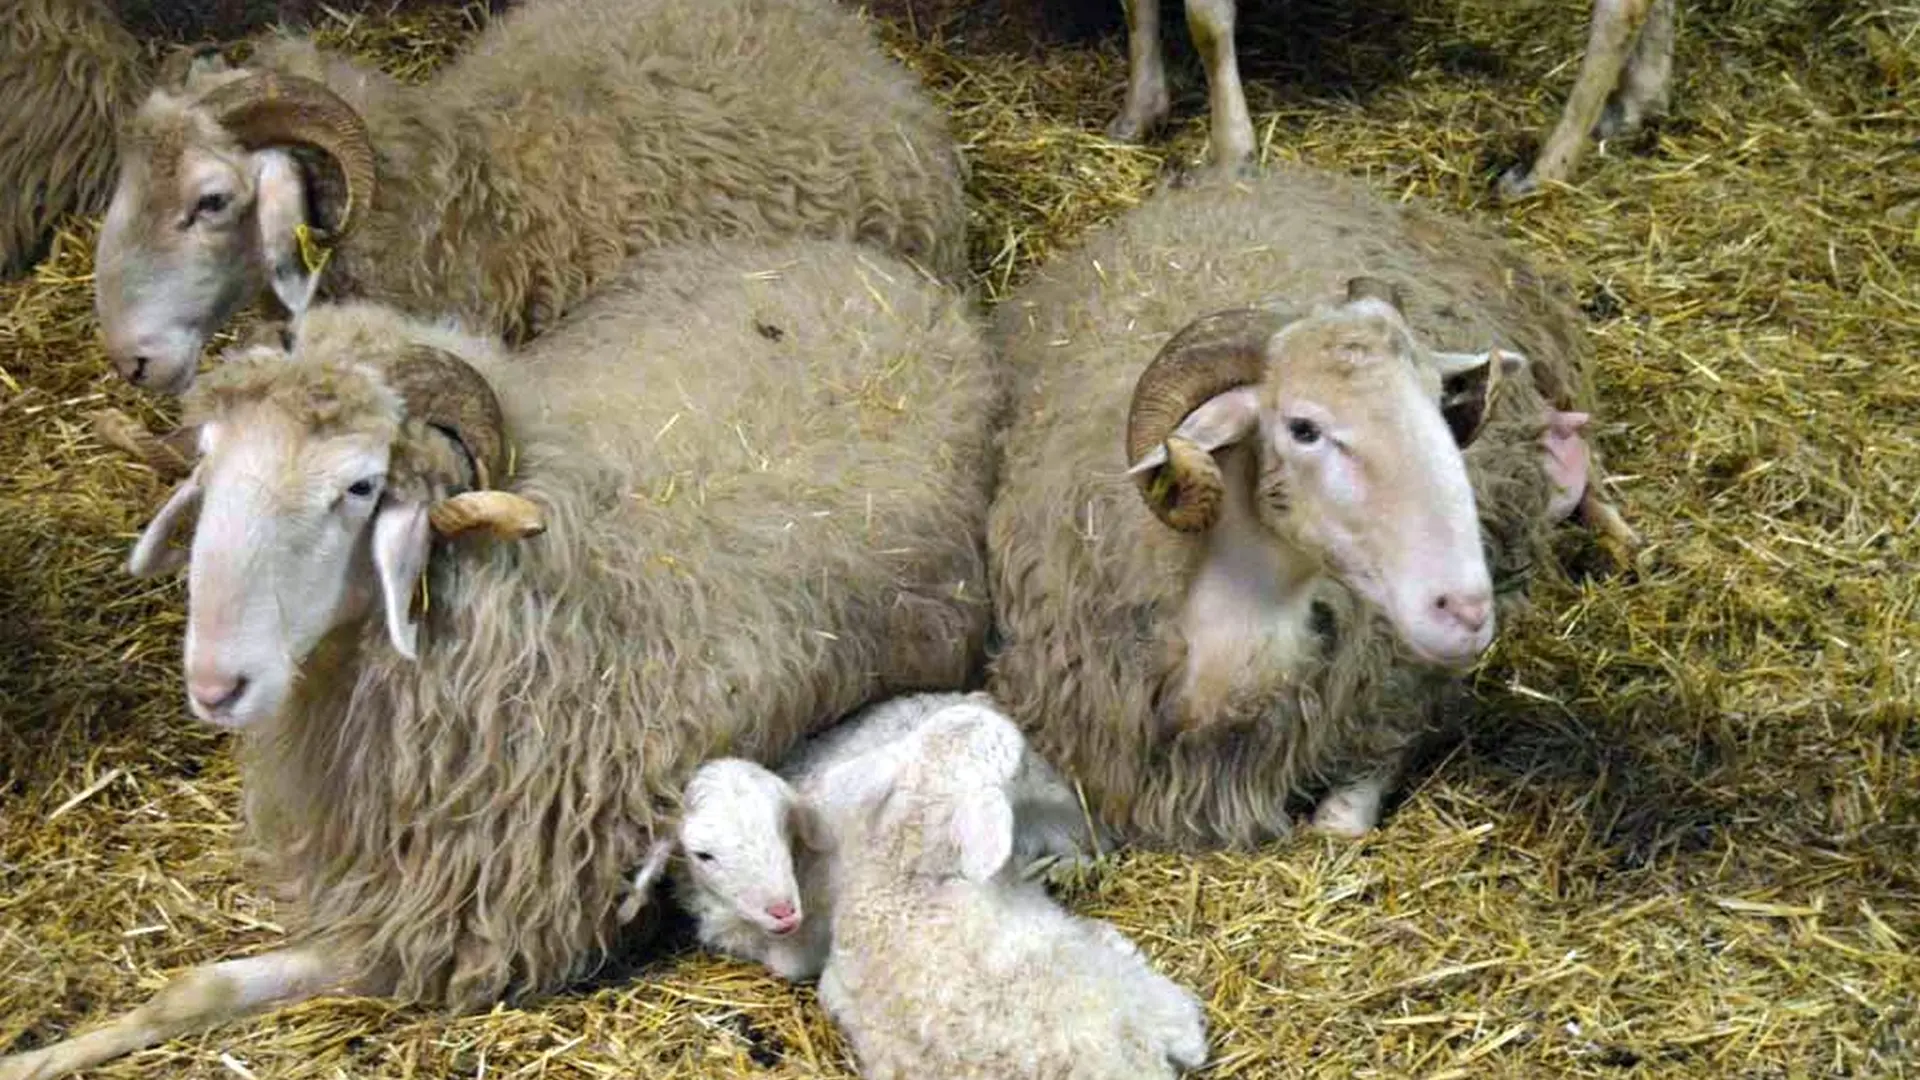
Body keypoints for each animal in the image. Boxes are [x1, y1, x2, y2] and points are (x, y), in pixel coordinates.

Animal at [0, 235, 1013, 1076]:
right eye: (209, 468)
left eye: (360, 487)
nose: (217, 683)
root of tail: (881, 272)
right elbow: (184, 988)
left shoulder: (444, 935)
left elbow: (199, 984)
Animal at [1105, 0, 1674, 197]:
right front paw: (1139, 111)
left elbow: (1205, 21)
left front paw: (1229, 155)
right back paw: (1638, 99)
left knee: (1621, 9)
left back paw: (1546, 168)